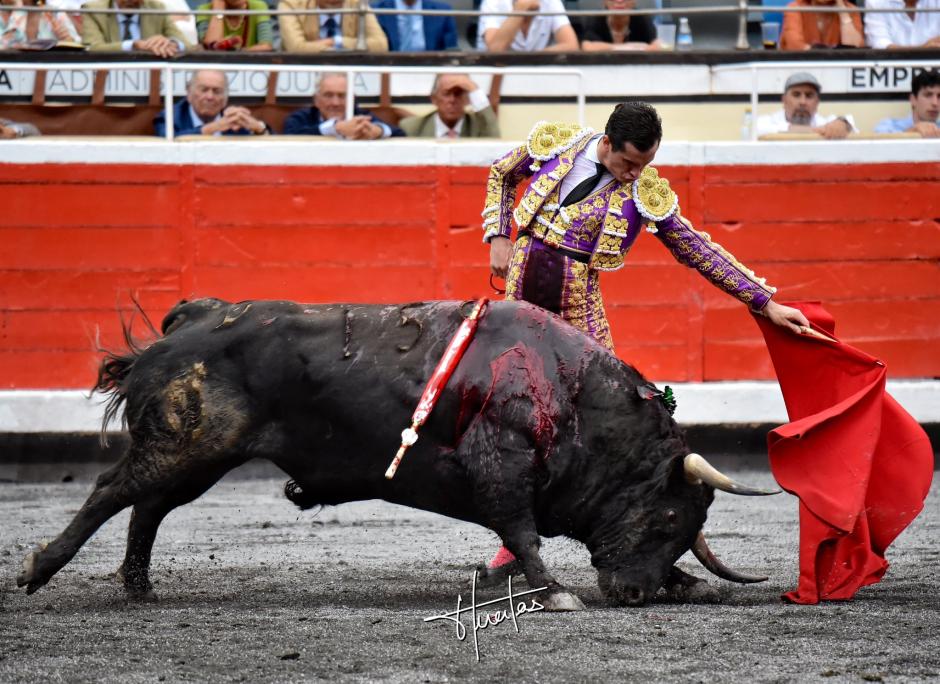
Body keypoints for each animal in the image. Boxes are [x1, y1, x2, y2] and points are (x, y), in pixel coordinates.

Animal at [18, 296, 776, 608]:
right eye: (669, 518)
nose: (635, 594)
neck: (572, 394)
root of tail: (192, 319)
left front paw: (686, 582)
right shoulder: (501, 473)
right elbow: (524, 534)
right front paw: (557, 593)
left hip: (202, 457)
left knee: (147, 508)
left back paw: (140, 588)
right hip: (191, 442)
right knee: (111, 492)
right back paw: (39, 570)